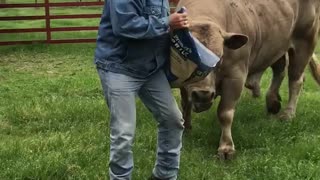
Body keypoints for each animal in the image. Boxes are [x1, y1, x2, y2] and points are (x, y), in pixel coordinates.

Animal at [178, 0, 320, 160]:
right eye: (188, 57)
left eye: (220, 58)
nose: (203, 95)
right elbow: (185, 104)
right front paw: (186, 130)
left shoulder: (236, 76)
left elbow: (225, 113)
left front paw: (226, 148)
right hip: (277, 46)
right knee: (280, 69)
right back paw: (272, 102)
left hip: (305, 42)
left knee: (295, 80)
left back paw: (288, 114)